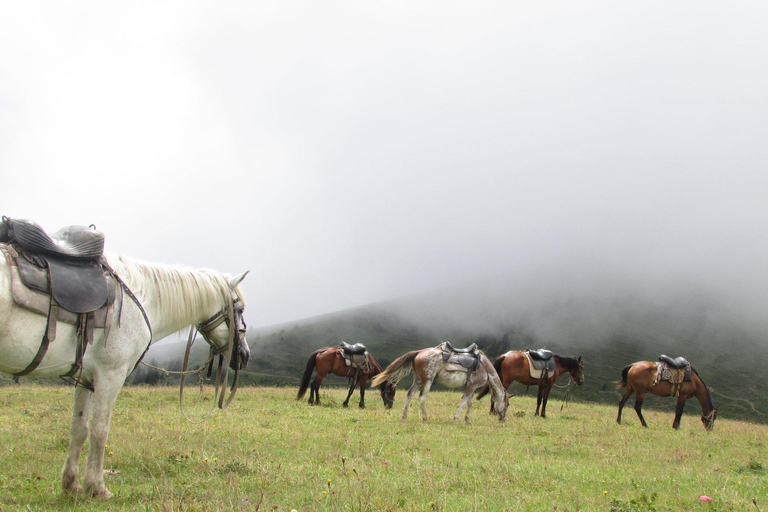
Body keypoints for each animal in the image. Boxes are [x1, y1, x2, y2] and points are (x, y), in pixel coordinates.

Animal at [0, 225, 249, 500]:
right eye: (239, 309)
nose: (244, 355)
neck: (141, 296)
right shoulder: (111, 375)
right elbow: (100, 430)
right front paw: (96, 487)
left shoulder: (85, 379)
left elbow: (79, 429)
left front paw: (71, 485)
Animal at [368, 344, 508, 424]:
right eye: (507, 404)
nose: (503, 419)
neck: (484, 366)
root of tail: (419, 352)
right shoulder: (472, 386)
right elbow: (464, 402)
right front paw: (456, 419)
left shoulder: (472, 387)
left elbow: (469, 403)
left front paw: (467, 420)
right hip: (427, 380)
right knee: (422, 398)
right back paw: (425, 418)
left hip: (418, 380)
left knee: (409, 395)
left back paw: (404, 417)